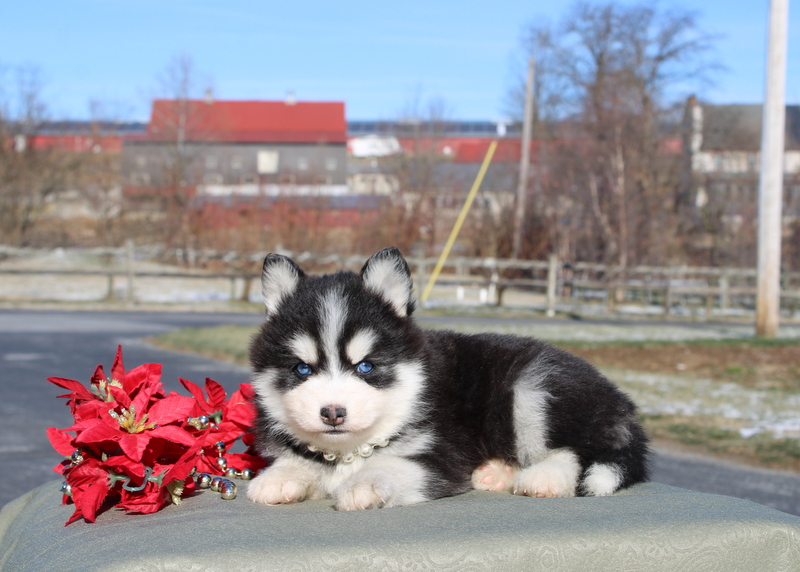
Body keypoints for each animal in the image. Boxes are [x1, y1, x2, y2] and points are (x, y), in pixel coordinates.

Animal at [247, 248, 648, 512]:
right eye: (302, 370)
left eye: (366, 367)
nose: (332, 412)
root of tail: (623, 405)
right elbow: (301, 462)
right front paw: (280, 476)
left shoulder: (443, 457)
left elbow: (391, 464)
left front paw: (363, 484)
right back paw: (496, 473)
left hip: (533, 386)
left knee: (578, 451)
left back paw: (545, 478)